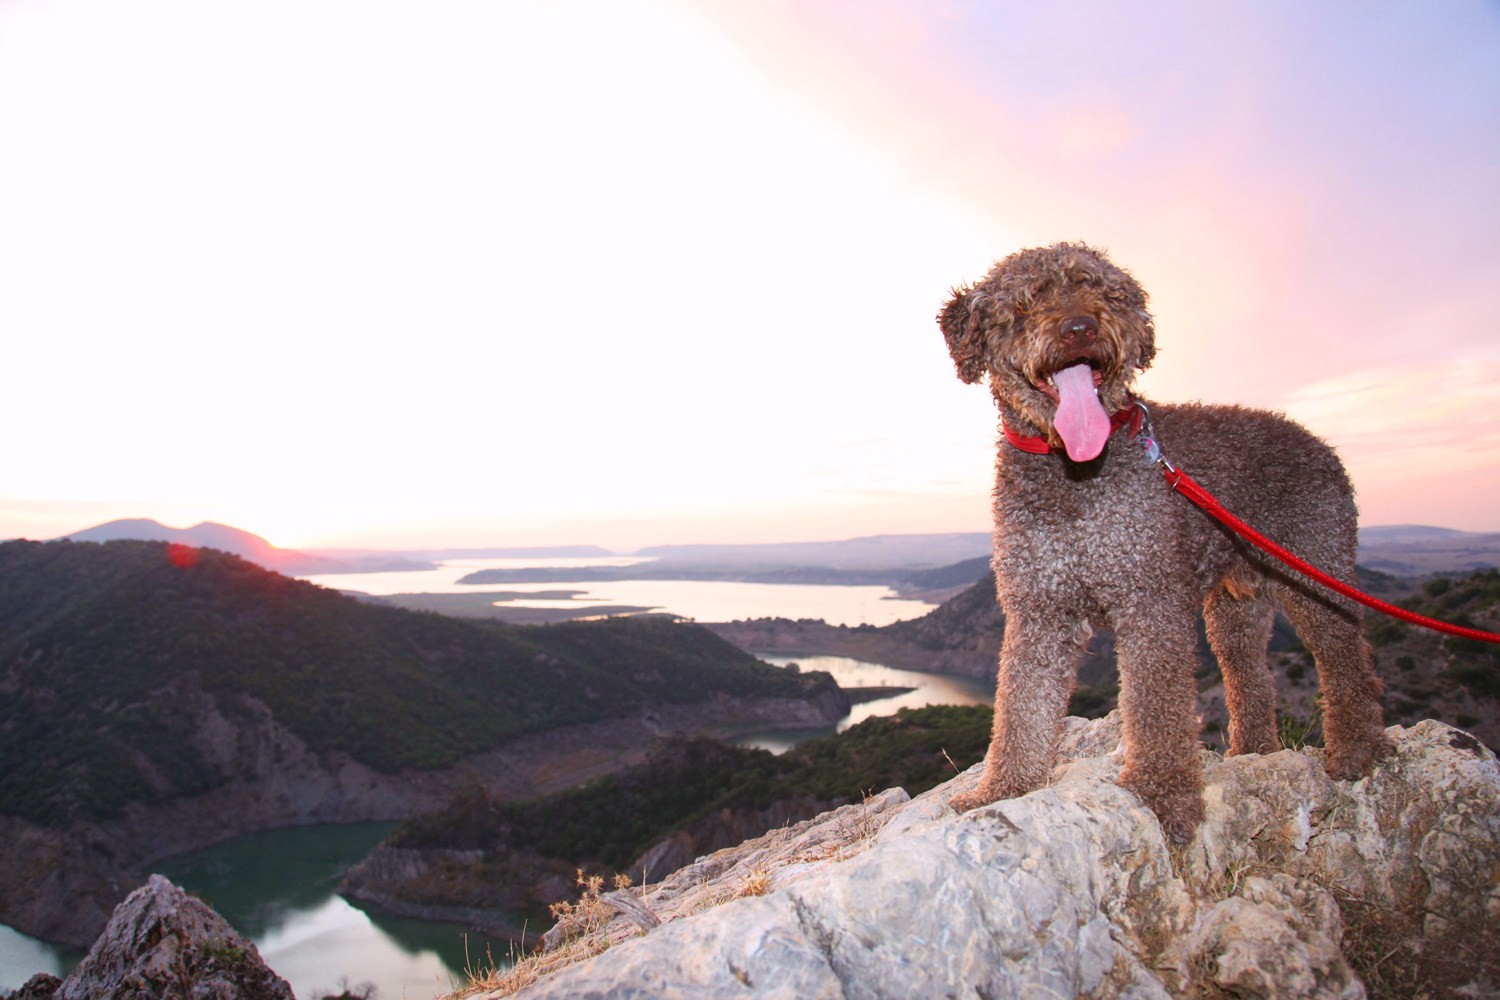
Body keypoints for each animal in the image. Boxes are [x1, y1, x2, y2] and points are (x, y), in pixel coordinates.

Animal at [942, 244, 1386, 845]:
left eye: (1104, 292)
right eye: (1026, 301)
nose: (1080, 327)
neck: (1074, 473)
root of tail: (1320, 444)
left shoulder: (1149, 601)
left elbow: (1157, 708)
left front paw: (1163, 796)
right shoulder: (1040, 610)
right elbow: (1021, 708)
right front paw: (1003, 790)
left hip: (1316, 574)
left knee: (1347, 664)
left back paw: (1358, 751)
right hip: (1234, 610)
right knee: (1250, 677)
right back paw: (1253, 753)